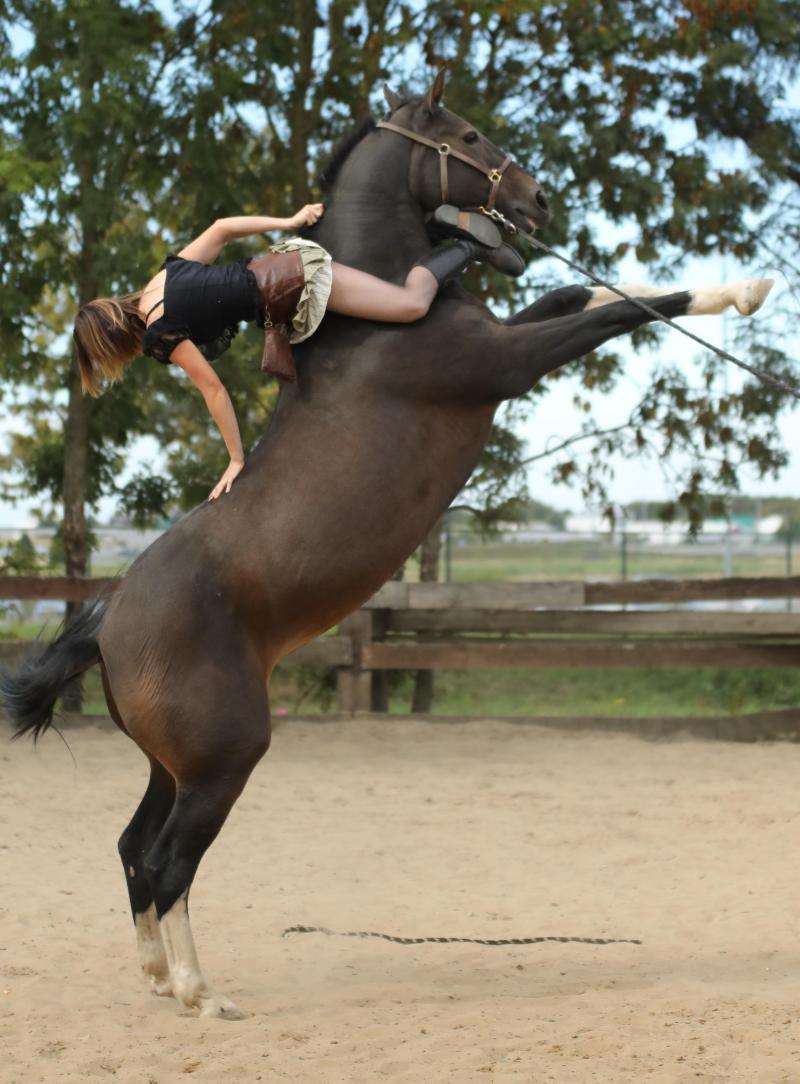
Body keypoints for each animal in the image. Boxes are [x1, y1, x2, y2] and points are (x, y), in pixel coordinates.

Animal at [1, 67, 771, 1014]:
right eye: (468, 137)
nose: (536, 200)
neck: (377, 320)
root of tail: (107, 622)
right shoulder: (508, 365)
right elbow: (620, 310)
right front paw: (747, 291)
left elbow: (584, 296)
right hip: (224, 760)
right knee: (168, 860)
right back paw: (200, 993)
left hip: (170, 762)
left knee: (131, 848)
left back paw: (156, 977)